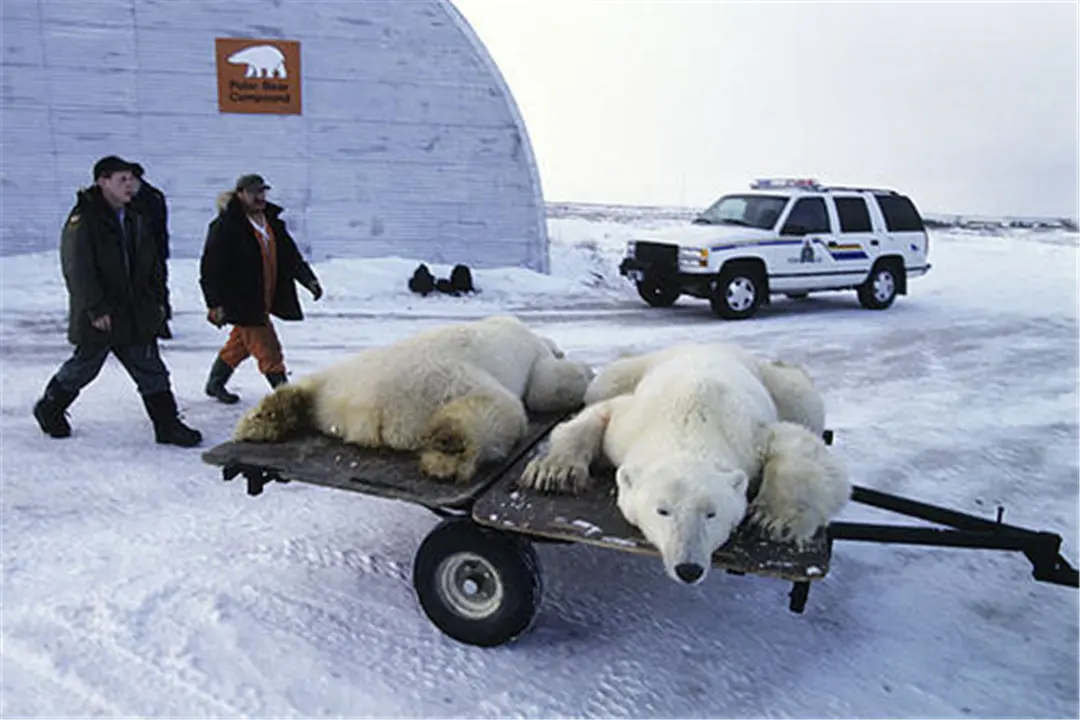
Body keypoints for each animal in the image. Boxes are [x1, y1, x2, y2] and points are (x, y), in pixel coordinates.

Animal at [518, 343, 846, 587]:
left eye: (711, 513)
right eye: (662, 510)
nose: (688, 568)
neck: (691, 422)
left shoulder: (748, 434)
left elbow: (797, 443)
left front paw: (773, 519)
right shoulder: (631, 422)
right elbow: (598, 414)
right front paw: (553, 472)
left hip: (779, 384)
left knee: (803, 401)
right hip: (631, 370)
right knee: (606, 382)